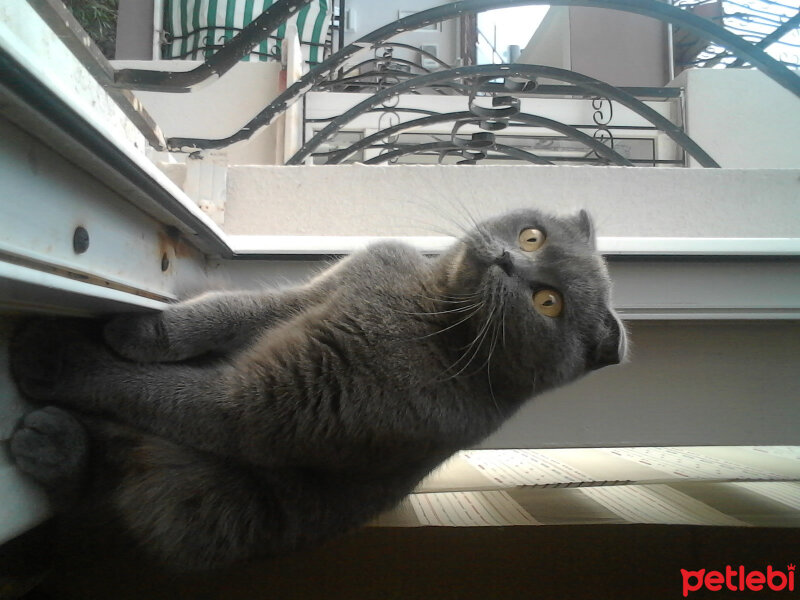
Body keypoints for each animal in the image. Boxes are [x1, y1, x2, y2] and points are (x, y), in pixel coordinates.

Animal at [9, 209, 628, 568]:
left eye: (548, 303)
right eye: (532, 236)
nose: (506, 258)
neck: (426, 312)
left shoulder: (265, 404)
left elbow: (166, 391)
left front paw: (56, 357)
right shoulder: (312, 295)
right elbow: (224, 312)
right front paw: (142, 330)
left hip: (195, 507)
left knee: (106, 497)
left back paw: (48, 434)